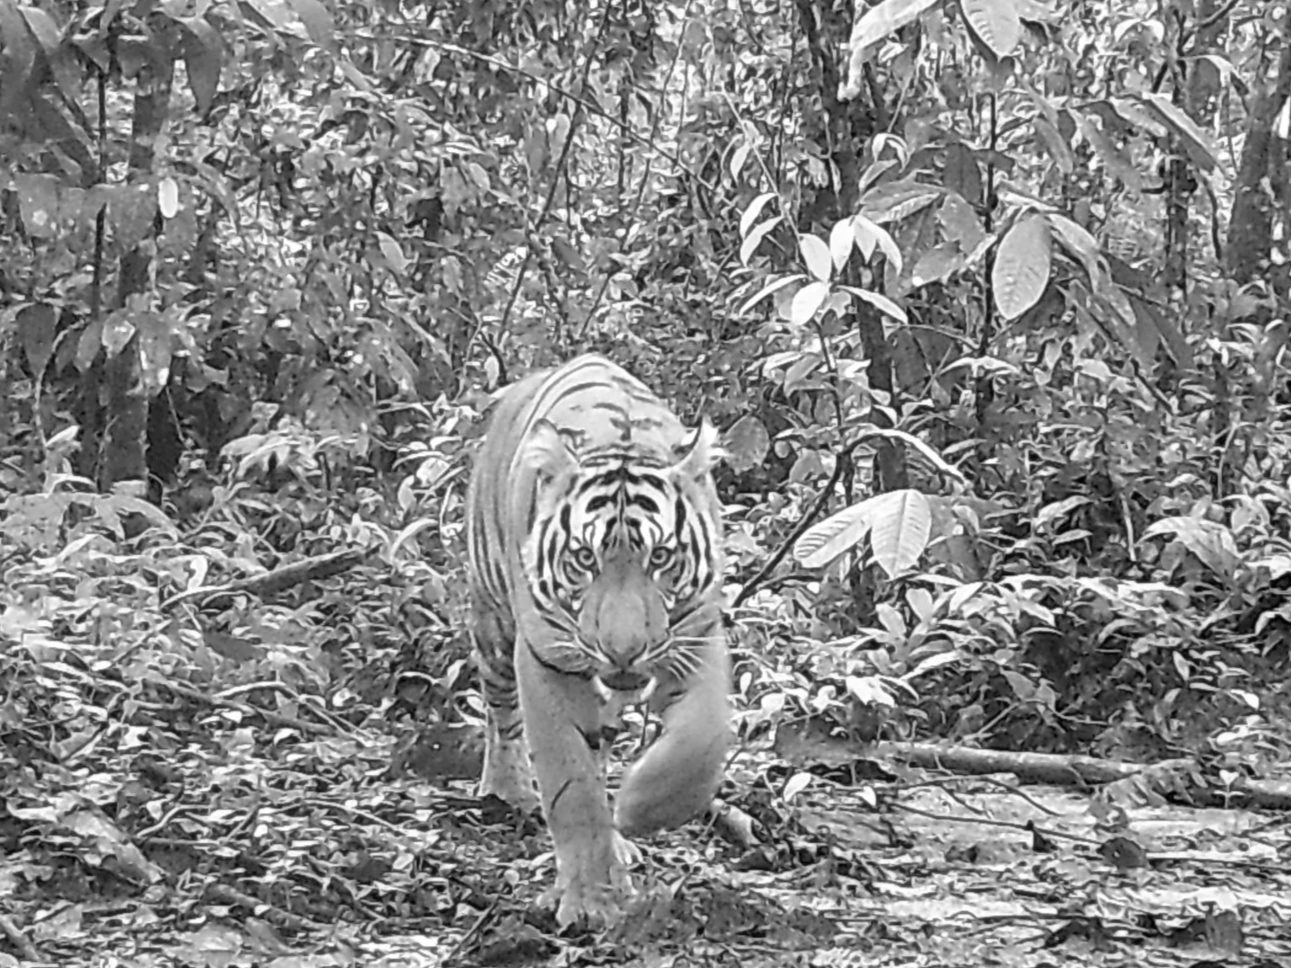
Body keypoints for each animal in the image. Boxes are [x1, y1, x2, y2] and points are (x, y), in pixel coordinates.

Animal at [464, 353, 731, 927]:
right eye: (584, 559)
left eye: (660, 557)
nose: (622, 650)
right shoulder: (546, 658)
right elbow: (572, 784)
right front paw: (589, 900)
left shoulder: (697, 635)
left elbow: (699, 742)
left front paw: (637, 811)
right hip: (492, 622)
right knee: (500, 711)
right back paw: (504, 790)